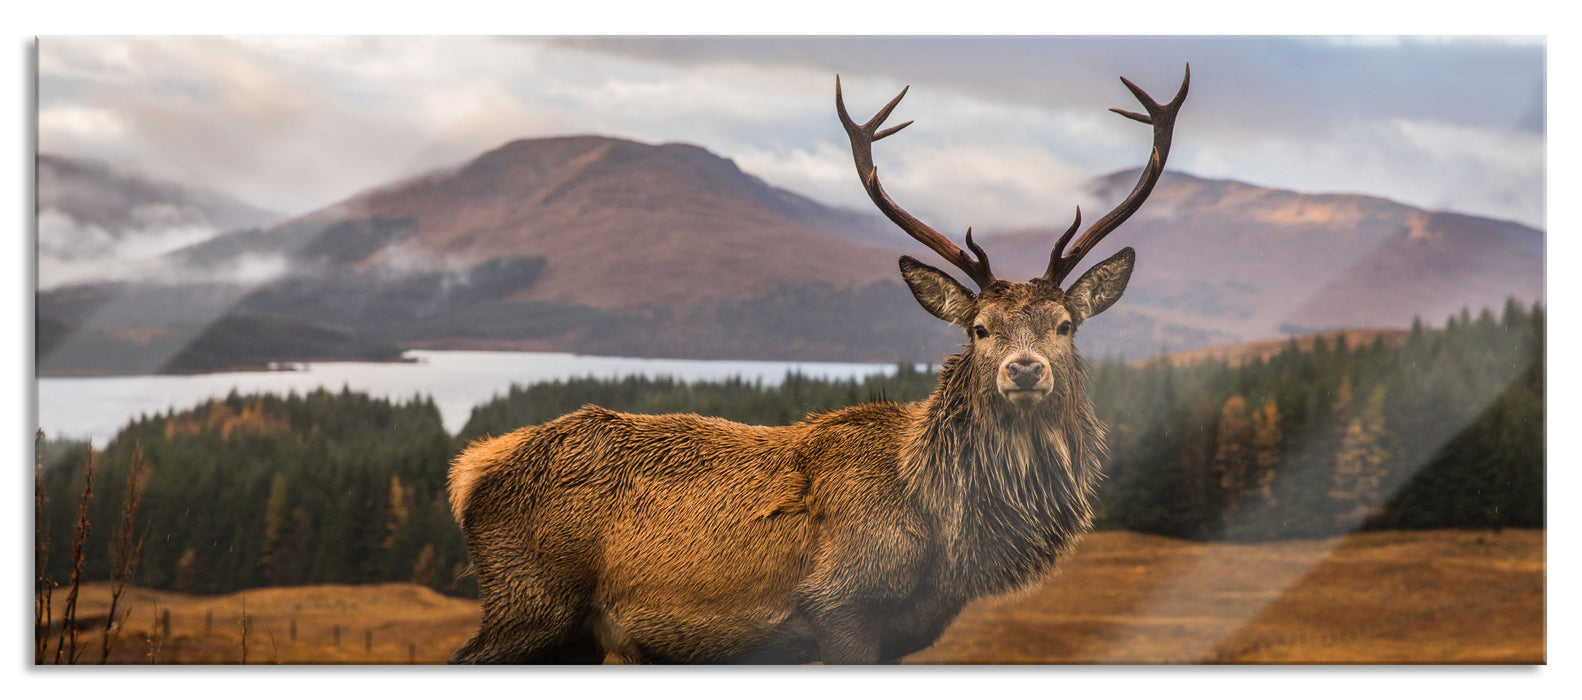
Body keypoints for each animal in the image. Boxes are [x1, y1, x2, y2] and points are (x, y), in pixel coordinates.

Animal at [446, 65, 1189, 661]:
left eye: (1065, 326)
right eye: (980, 329)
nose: (1025, 370)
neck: (943, 536)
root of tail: (469, 471)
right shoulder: (841, 608)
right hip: (531, 602)